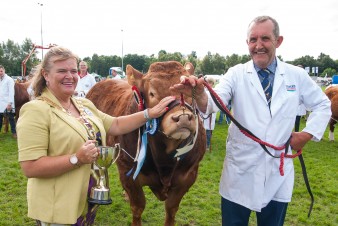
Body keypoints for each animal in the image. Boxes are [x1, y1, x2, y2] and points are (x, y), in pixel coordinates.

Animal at [86, 61, 206, 225]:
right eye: (152, 93)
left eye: (190, 89)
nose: (182, 117)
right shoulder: (128, 173)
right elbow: (138, 207)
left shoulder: (188, 175)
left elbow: (171, 208)